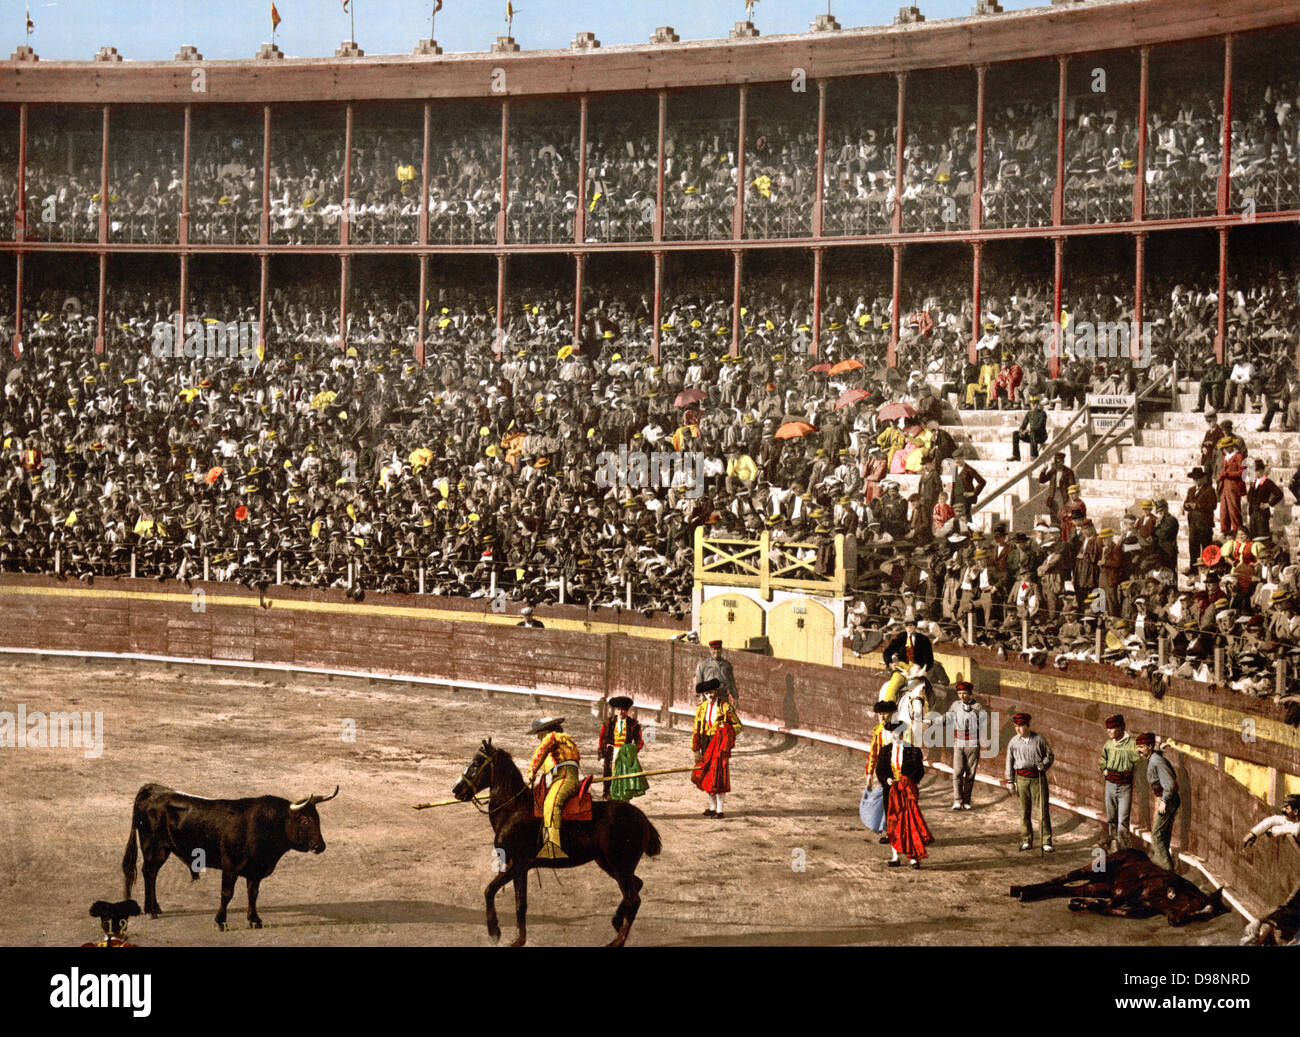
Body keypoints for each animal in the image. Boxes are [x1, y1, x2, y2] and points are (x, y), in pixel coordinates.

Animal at [120, 784, 340, 930]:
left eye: (318, 819)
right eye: (304, 820)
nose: (320, 846)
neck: (266, 825)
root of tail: (154, 791)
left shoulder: (255, 871)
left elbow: (253, 894)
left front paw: (255, 920)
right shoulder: (230, 867)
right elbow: (227, 894)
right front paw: (221, 921)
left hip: (162, 850)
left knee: (152, 874)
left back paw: (154, 908)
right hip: (153, 848)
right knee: (149, 872)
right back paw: (151, 910)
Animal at [454, 738, 660, 951]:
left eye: (476, 763)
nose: (456, 790)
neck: (514, 809)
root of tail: (642, 818)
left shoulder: (517, 864)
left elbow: (490, 890)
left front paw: (494, 931)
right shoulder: (520, 868)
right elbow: (520, 903)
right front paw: (519, 940)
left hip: (620, 866)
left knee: (633, 899)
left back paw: (617, 941)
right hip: (609, 864)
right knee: (636, 887)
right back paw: (616, 921)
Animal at [1003, 852, 1227, 925]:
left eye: (1204, 916)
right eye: (1193, 903)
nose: (1176, 922)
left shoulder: (1141, 909)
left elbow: (1113, 909)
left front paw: (1082, 905)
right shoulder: (1132, 887)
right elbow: (1113, 903)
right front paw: (1086, 905)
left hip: (1096, 885)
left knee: (1064, 888)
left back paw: (1026, 892)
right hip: (1091, 870)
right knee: (1063, 878)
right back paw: (1021, 890)